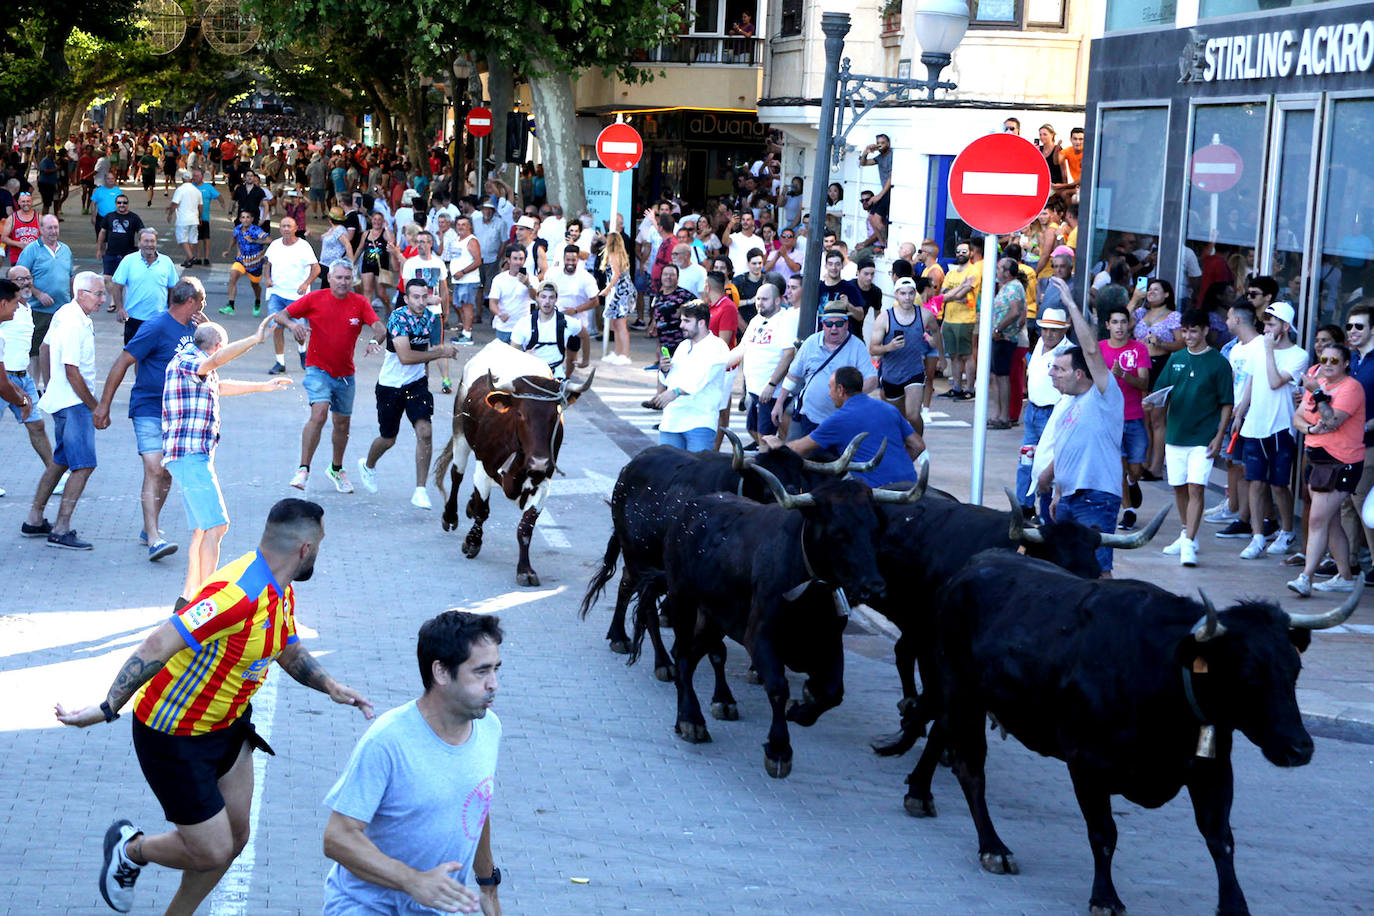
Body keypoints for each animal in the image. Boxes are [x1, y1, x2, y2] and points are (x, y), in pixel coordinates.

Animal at [434, 340, 590, 585]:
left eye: (555, 415)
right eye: (520, 414)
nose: (539, 463)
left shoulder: (543, 482)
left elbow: (526, 526)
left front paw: (525, 569)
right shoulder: (484, 468)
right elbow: (482, 510)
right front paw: (472, 542)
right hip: (460, 430)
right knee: (457, 474)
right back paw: (450, 516)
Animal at [912, 552, 1363, 916]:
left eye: (1294, 670)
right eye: (1247, 675)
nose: (1300, 748)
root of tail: (975, 564)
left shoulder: (1213, 767)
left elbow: (1220, 837)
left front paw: (1235, 905)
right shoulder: (1086, 762)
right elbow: (1104, 833)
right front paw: (1105, 898)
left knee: (939, 733)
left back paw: (918, 793)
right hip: (962, 694)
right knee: (971, 771)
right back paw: (993, 847)